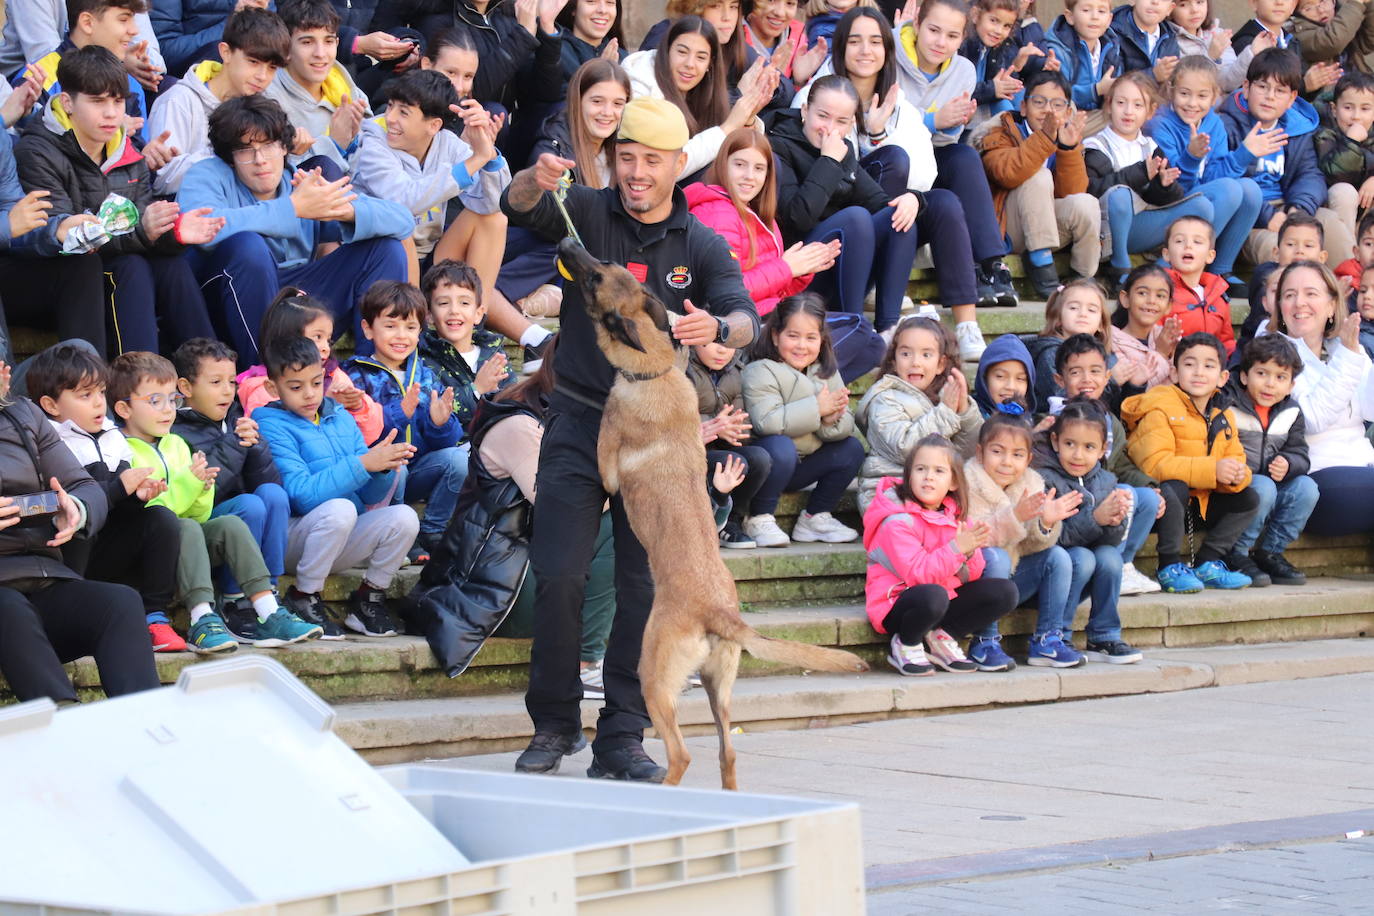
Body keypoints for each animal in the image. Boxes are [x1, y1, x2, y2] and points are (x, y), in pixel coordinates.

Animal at [557, 238, 868, 791]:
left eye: (596, 278)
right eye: (604, 264)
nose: (569, 243)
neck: (655, 368)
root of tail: (718, 612)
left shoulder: (608, 467)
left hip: (656, 679)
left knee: (681, 753)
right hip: (717, 686)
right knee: (728, 753)